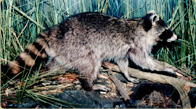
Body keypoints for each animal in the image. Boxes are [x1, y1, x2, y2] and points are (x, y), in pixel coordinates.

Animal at [1, 10, 182, 90]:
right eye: (168, 31)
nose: (177, 37)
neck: (141, 26)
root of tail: (56, 30)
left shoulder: (124, 49)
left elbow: (122, 61)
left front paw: (127, 75)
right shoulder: (136, 44)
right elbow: (144, 62)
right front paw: (165, 68)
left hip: (66, 50)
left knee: (57, 64)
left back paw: (47, 72)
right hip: (77, 45)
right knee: (91, 63)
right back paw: (89, 85)